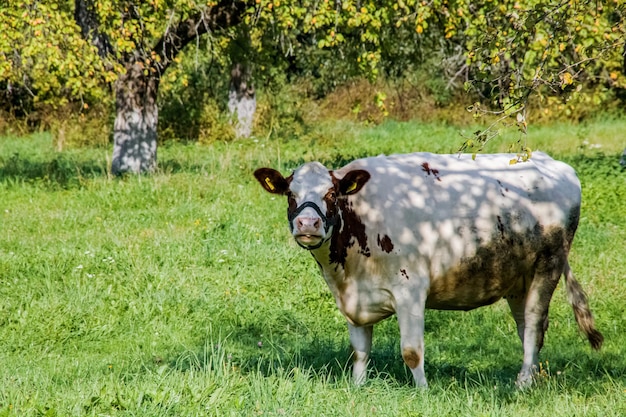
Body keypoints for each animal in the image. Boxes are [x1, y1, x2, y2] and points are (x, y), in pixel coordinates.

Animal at [252, 152, 600, 386]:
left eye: (331, 193)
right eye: (291, 194)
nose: (307, 223)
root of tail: (552, 162)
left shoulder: (410, 289)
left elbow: (411, 351)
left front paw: (422, 391)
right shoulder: (353, 298)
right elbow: (360, 351)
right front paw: (357, 387)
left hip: (548, 266)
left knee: (534, 323)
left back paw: (524, 382)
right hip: (517, 278)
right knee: (527, 328)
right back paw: (532, 375)